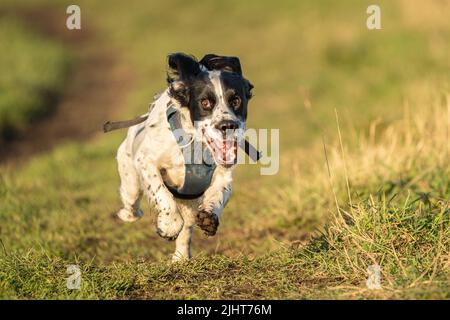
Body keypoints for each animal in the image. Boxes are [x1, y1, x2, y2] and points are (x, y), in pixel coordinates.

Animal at [114, 52, 253, 262]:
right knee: (131, 200)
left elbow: (219, 193)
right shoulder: (146, 161)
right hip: (130, 178)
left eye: (236, 100)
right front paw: (168, 225)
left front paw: (209, 217)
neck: (195, 144)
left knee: (186, 228)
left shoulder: (223, 174)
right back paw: (128, 214)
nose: (228, 125)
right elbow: (161, 193)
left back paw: (180, 258)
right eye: (205, 103)